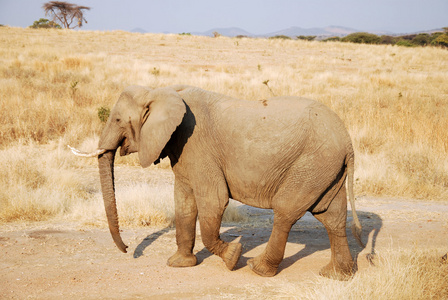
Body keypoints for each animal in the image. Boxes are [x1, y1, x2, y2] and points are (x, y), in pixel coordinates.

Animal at [71, 85, 364, 278]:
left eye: (118, 119)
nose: (127, 249)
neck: (163, 90)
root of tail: (348, 141)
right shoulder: (184, 150)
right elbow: (184, 204)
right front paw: (179, 265)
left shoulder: (197, 146)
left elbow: (214, 201)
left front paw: (233, 257)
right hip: (326, 168)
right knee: (332, 217)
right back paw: (335, 276)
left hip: (312, 163)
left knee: (285, 211)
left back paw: (258, 269)